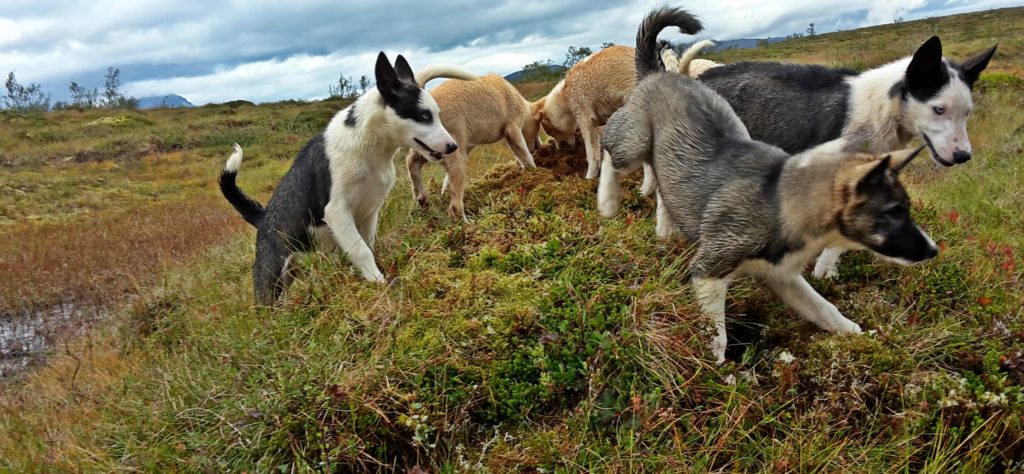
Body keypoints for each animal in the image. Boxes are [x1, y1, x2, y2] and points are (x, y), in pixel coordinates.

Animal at [220, 51, 475, 305]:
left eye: (437, 115)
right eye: (424, 115)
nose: (453, 146)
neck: (368, 145)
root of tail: (262, 218)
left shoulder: (370, 212)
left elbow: (368, 246)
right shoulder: (338, 212)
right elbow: (361, 250)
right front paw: (378, 283)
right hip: (271, 278)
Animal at [405, 72, 540, 221]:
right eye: (538, 125)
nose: (538, 147)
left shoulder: (468, 145)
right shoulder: (512, 127)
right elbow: (522, 150)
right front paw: (534, 171)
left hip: (429, 146)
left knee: (412, 162)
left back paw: (422, 199)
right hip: (450, 146)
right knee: (455, 201)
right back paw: (466, 222)